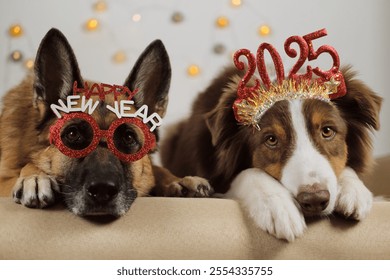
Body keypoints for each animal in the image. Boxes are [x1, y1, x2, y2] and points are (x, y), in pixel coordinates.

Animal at [161, 66, 380, 242]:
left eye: (327, 131)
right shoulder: (217, 179)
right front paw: (279, 207)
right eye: (271, 140)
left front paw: (354, 191)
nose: (315, 200)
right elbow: (251, 173)